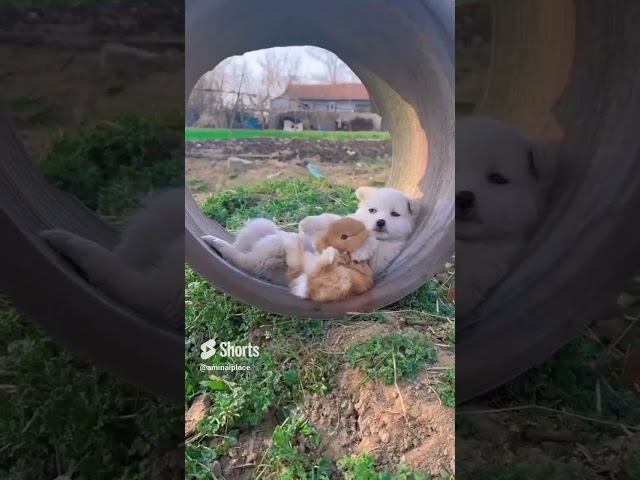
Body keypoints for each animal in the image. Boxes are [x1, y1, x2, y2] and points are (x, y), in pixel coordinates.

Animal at [204, 187, 420, 284]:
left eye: (395, 214)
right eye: (372, 210)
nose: (380, 222)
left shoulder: (384, 254)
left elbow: (372, 244)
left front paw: (363, 247)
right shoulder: (343, 220)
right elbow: (329, 219)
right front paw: (306, 223)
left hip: (277, 247)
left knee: (248, 263)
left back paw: (219, 245)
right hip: (261, 225)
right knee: (246, 247)